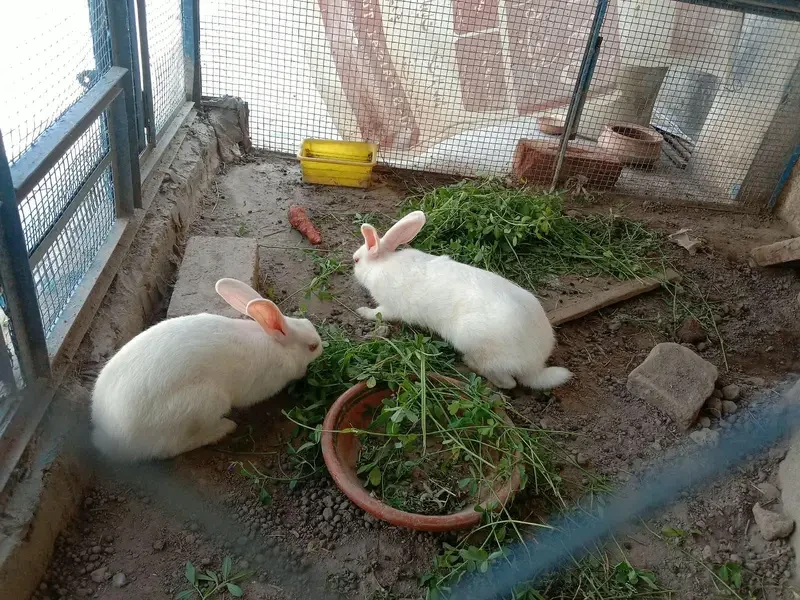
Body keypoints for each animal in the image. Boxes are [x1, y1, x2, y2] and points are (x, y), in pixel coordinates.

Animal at [91, 278, 323, 461]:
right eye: (312, 346)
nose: (322, 345)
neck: (277, 344)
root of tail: (109, 436)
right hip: (204, 404)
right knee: (173, 447)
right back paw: (225, 427)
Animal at [352, 211, 572, 390]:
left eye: (357, 260)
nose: (352, 261)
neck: (382, 263)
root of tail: (535, 365)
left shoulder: (390, 307)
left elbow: (379, 313)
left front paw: (362, 311)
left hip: (474, 342)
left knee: (508, 383)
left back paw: (470, 363)